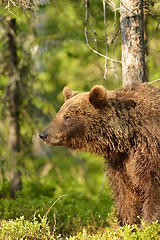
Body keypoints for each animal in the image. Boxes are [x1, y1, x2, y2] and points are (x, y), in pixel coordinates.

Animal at [39, 83, 160, 226]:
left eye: (67, 117)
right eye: (58, 114)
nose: (44, 134)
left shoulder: (149, 149)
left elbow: (153, 188)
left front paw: (147, 224)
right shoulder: (120, 162)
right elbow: (125, 193)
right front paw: (128, 223)